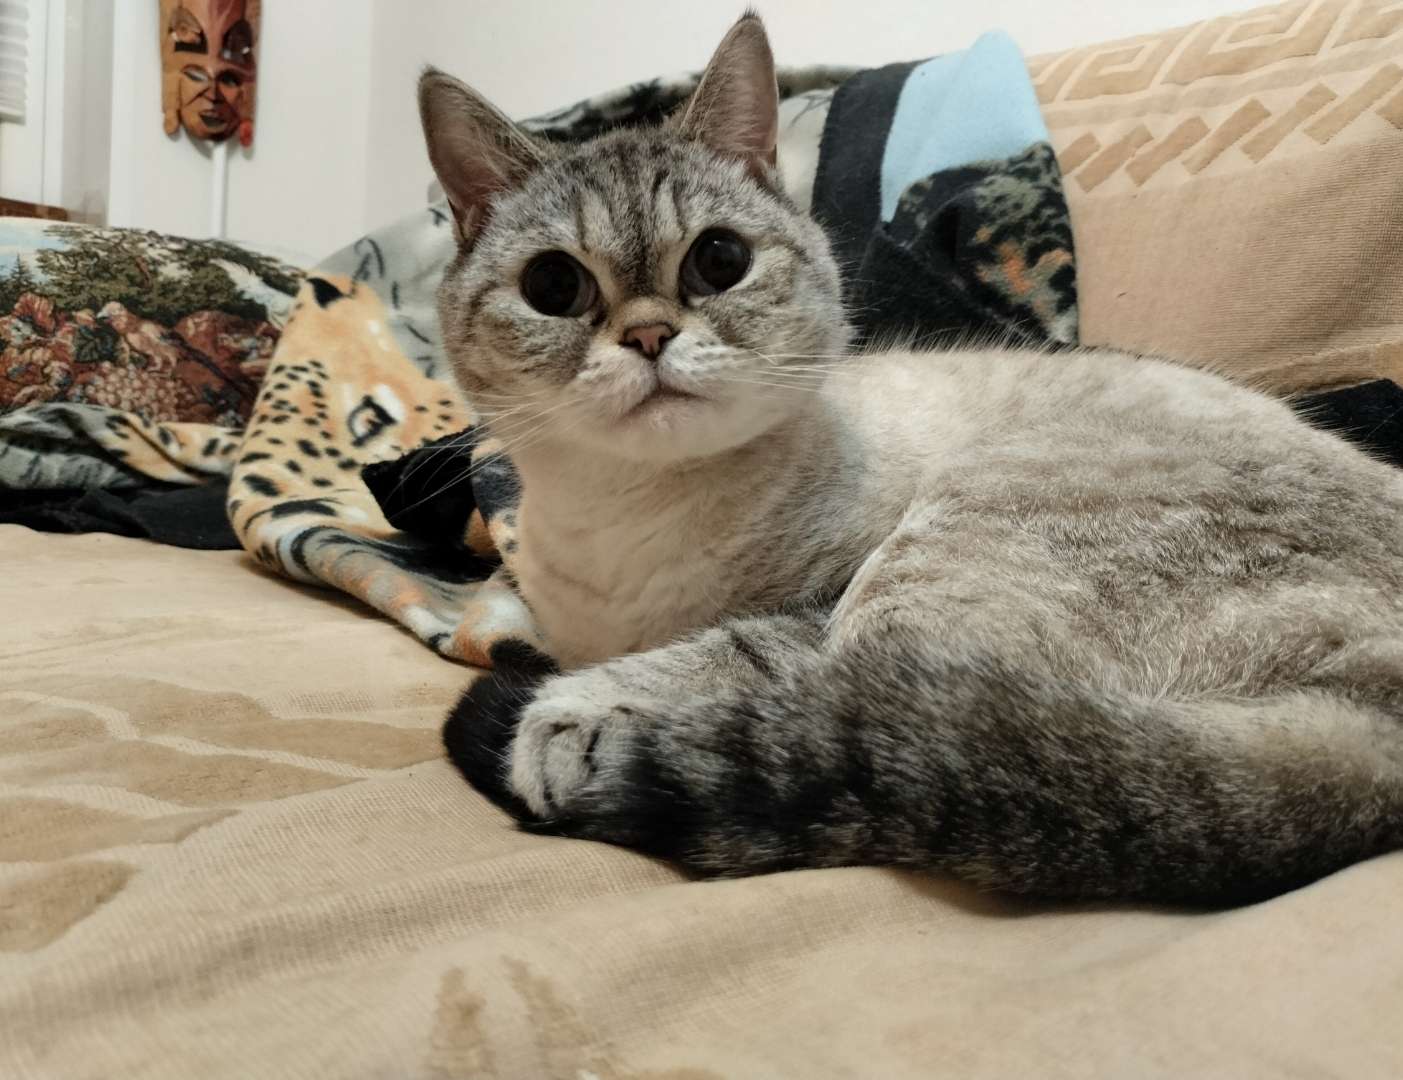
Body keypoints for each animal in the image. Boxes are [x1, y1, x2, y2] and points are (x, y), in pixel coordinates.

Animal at [420, 13, 1403, 904]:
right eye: (553, 286)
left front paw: (572, 716)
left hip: (945, 563)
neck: (632, 523)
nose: (650, 337)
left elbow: (727, 651)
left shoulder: (820, 605)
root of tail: (1371, 731)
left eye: (718, 261)